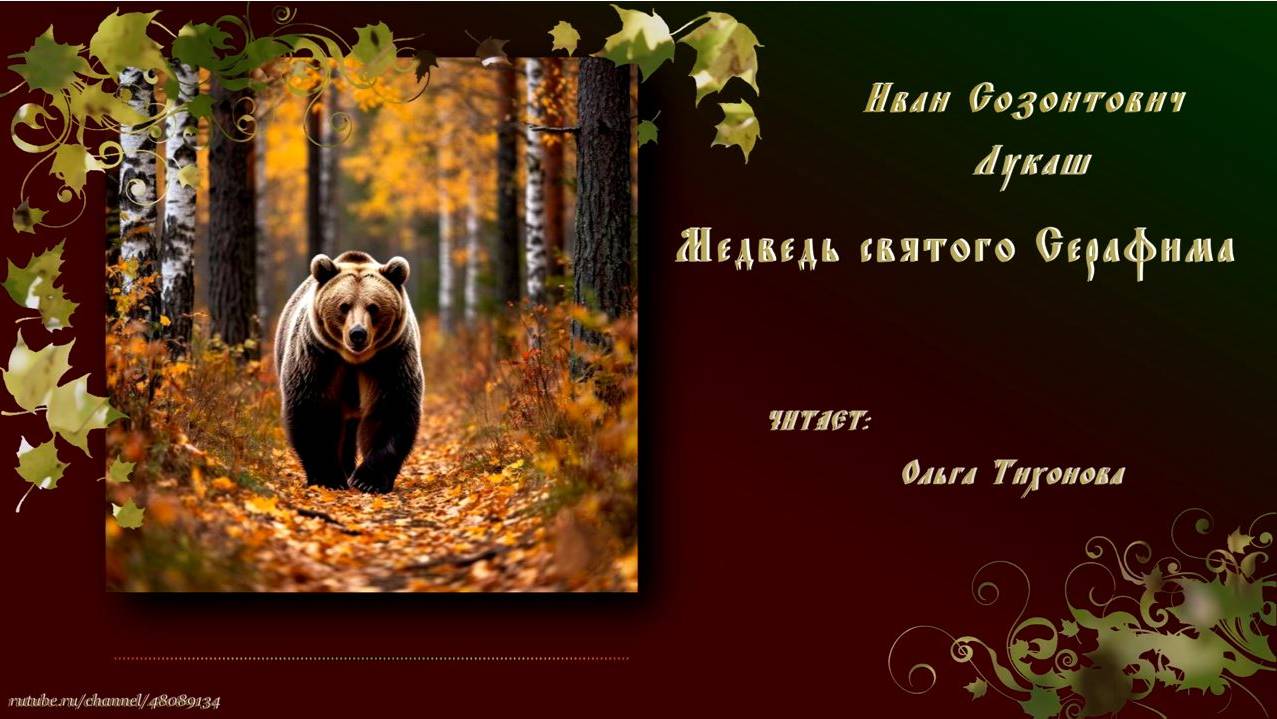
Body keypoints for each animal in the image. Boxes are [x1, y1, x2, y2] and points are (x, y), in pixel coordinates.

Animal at [275, 251, 423, 493]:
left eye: (373, 307)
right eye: (344, 306)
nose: (357, 334)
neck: (354, 360)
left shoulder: (390, 360)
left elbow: (391, 410)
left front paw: (368, 480)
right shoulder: (318, 358)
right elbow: (313, 411)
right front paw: (329, 477)